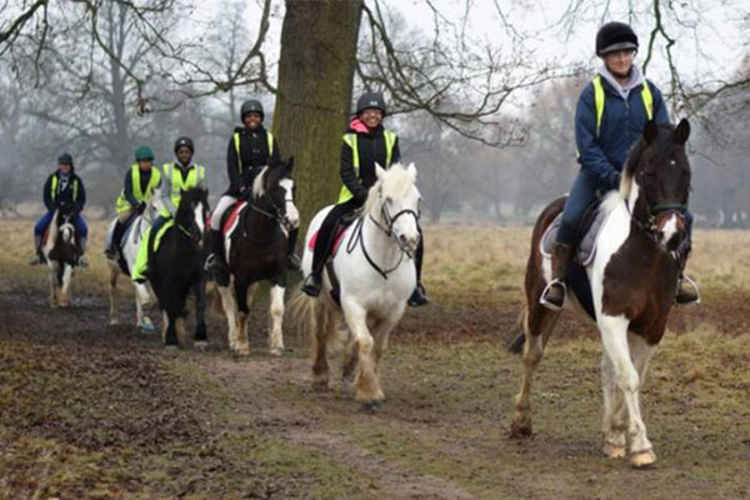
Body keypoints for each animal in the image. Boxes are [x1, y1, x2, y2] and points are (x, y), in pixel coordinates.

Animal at [106, 203, 159, 332]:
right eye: (154, 207)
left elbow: (152, 299)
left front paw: (146, 320)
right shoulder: (134, 268)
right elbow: (147, 299)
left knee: (137, 292)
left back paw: (140, 321)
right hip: (113, 269)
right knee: (112, 289)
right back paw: (114, 320)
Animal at [213, 158, 298, 358]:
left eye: (293, 187)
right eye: (276, 188)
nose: (293, 221)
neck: (261, 234)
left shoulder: (279, 274)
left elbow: (276, 309)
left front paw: (277, 346)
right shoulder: (241, 278)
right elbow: (242, 310)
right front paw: (242, 346)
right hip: (223, 276)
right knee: (230, 305)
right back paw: (233, 339)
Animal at [290, 162, 424, 408]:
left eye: (417, 199)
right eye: (388, 199)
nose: (410, 239)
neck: (384, 260)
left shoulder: (393, 311)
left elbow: (377, 346)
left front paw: (367, 382)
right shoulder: (354, 303)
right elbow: (366, 341)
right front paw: (368, 392)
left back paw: (349, 368)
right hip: (320, 300)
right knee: (320, 333)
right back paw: (320, 376)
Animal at [516, 120, 696, 468]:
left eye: (685, 172)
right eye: (648, 173)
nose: (671, 234)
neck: (644, 256)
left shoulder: (651, 327)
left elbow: (632, 375)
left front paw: (616, 435)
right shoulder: (614, 319)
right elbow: (628, 377)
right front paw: (640, 446)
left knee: (605, 367)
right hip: (540, 304)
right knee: (532, 355)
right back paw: (521, 421)